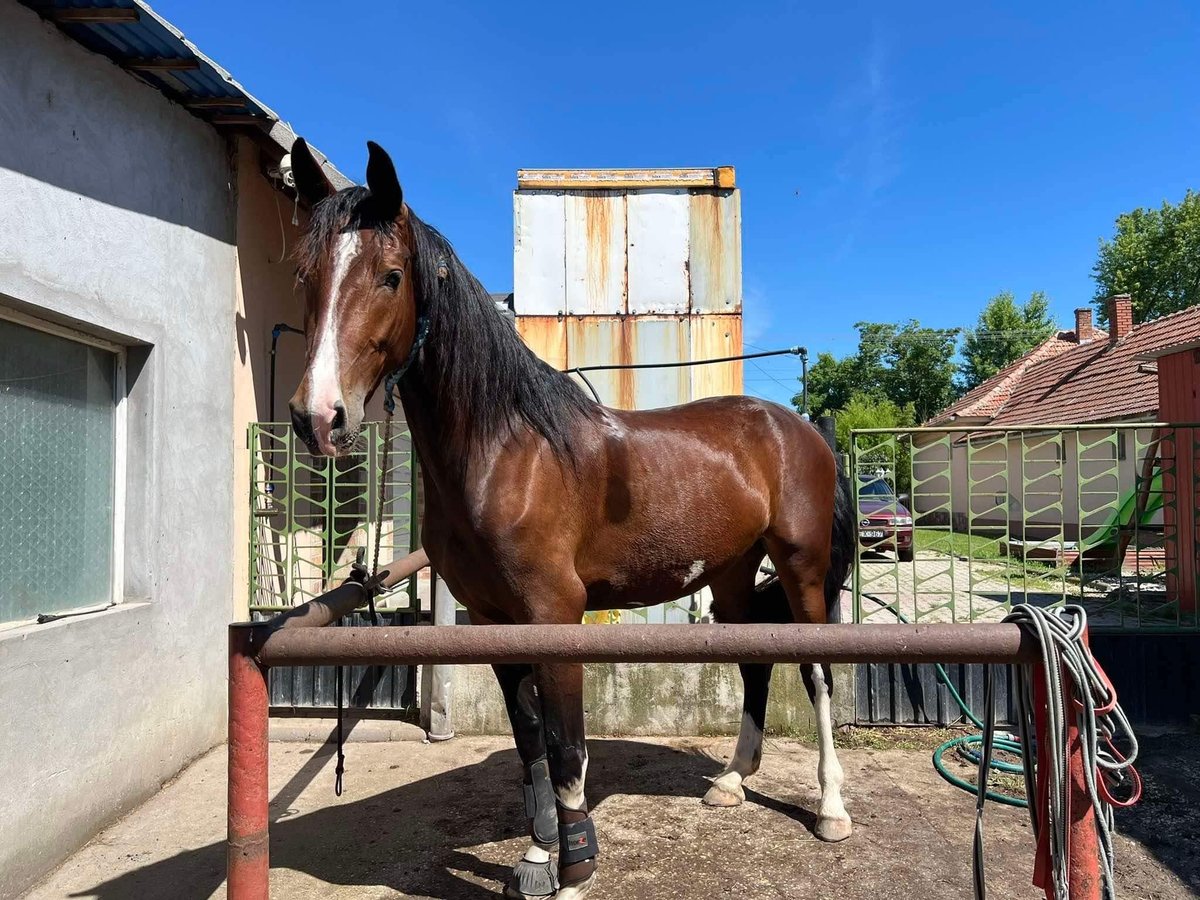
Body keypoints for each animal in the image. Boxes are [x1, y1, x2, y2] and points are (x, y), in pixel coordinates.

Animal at [286, 139, 859, 900]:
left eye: (390, 275)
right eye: (307, 275)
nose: (318, 417)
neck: (508, 450)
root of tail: (800, 428)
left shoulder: (555, 614)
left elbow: (566, 748)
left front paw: (575, 870)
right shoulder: (495, 624)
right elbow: (530, 744)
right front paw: (537, 853)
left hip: (802, 567)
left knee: (817, 672)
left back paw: (830, 808)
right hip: (732, 573)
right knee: (755, 663)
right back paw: (732, 782)